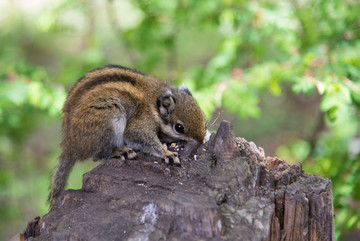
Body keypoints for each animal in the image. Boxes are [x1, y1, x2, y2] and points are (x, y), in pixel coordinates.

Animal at [48, 64, 205, 205]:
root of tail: (70, 145)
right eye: (179, 128)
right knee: (98, 154)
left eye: (203, 117)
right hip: (110, 115)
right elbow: (138, 136)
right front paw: (167, 153)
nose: (201, 141)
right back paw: (121, 151)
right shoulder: (140, 123)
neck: (155, 101)